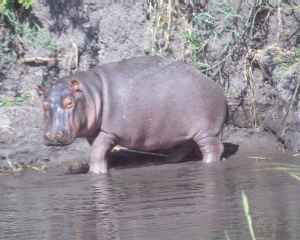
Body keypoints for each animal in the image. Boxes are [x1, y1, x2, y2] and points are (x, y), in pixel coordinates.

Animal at [38, 56, 225, 173]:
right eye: (44, 105)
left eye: (69, 103)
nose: (52, 135)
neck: (91, 93)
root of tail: (216, 85)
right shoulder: (95, 133)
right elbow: (99, 151)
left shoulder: (108, 131)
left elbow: (97, 151)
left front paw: (96, 172)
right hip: (183, 129)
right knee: (185, 145)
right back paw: (167, 160)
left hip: (206, 131)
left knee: (213, 148)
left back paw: (208, 163)